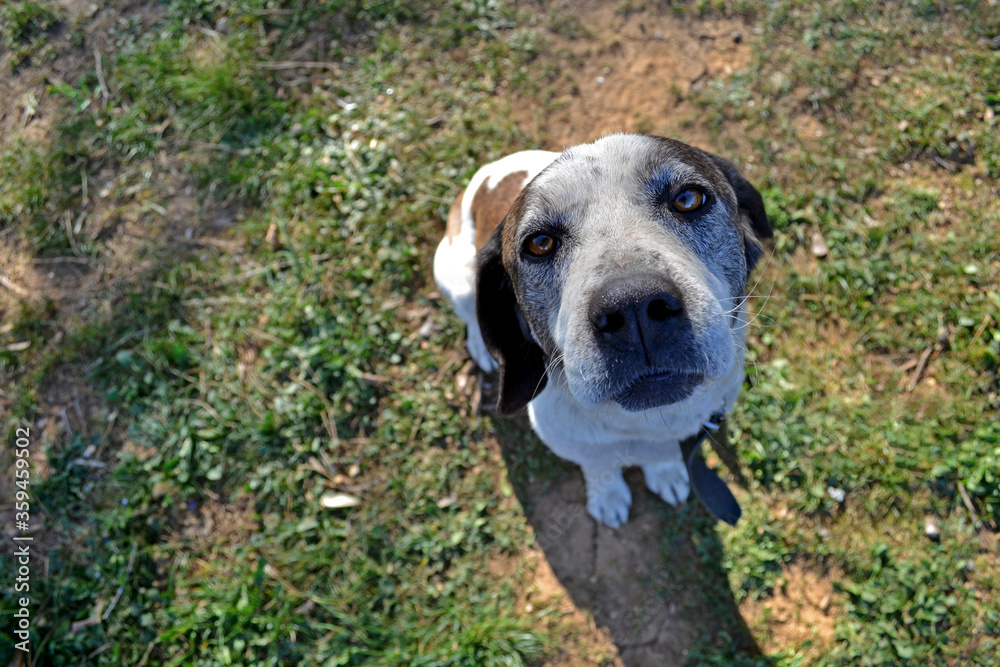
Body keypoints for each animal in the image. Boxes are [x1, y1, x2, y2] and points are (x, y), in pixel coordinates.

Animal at [434, 134, 768, 528]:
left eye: (688, 199)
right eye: (540, 243)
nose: (633, 307)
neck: (645, 424)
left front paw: (666, 472)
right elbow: (599, 465)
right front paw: (607, 496)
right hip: (454, 275)